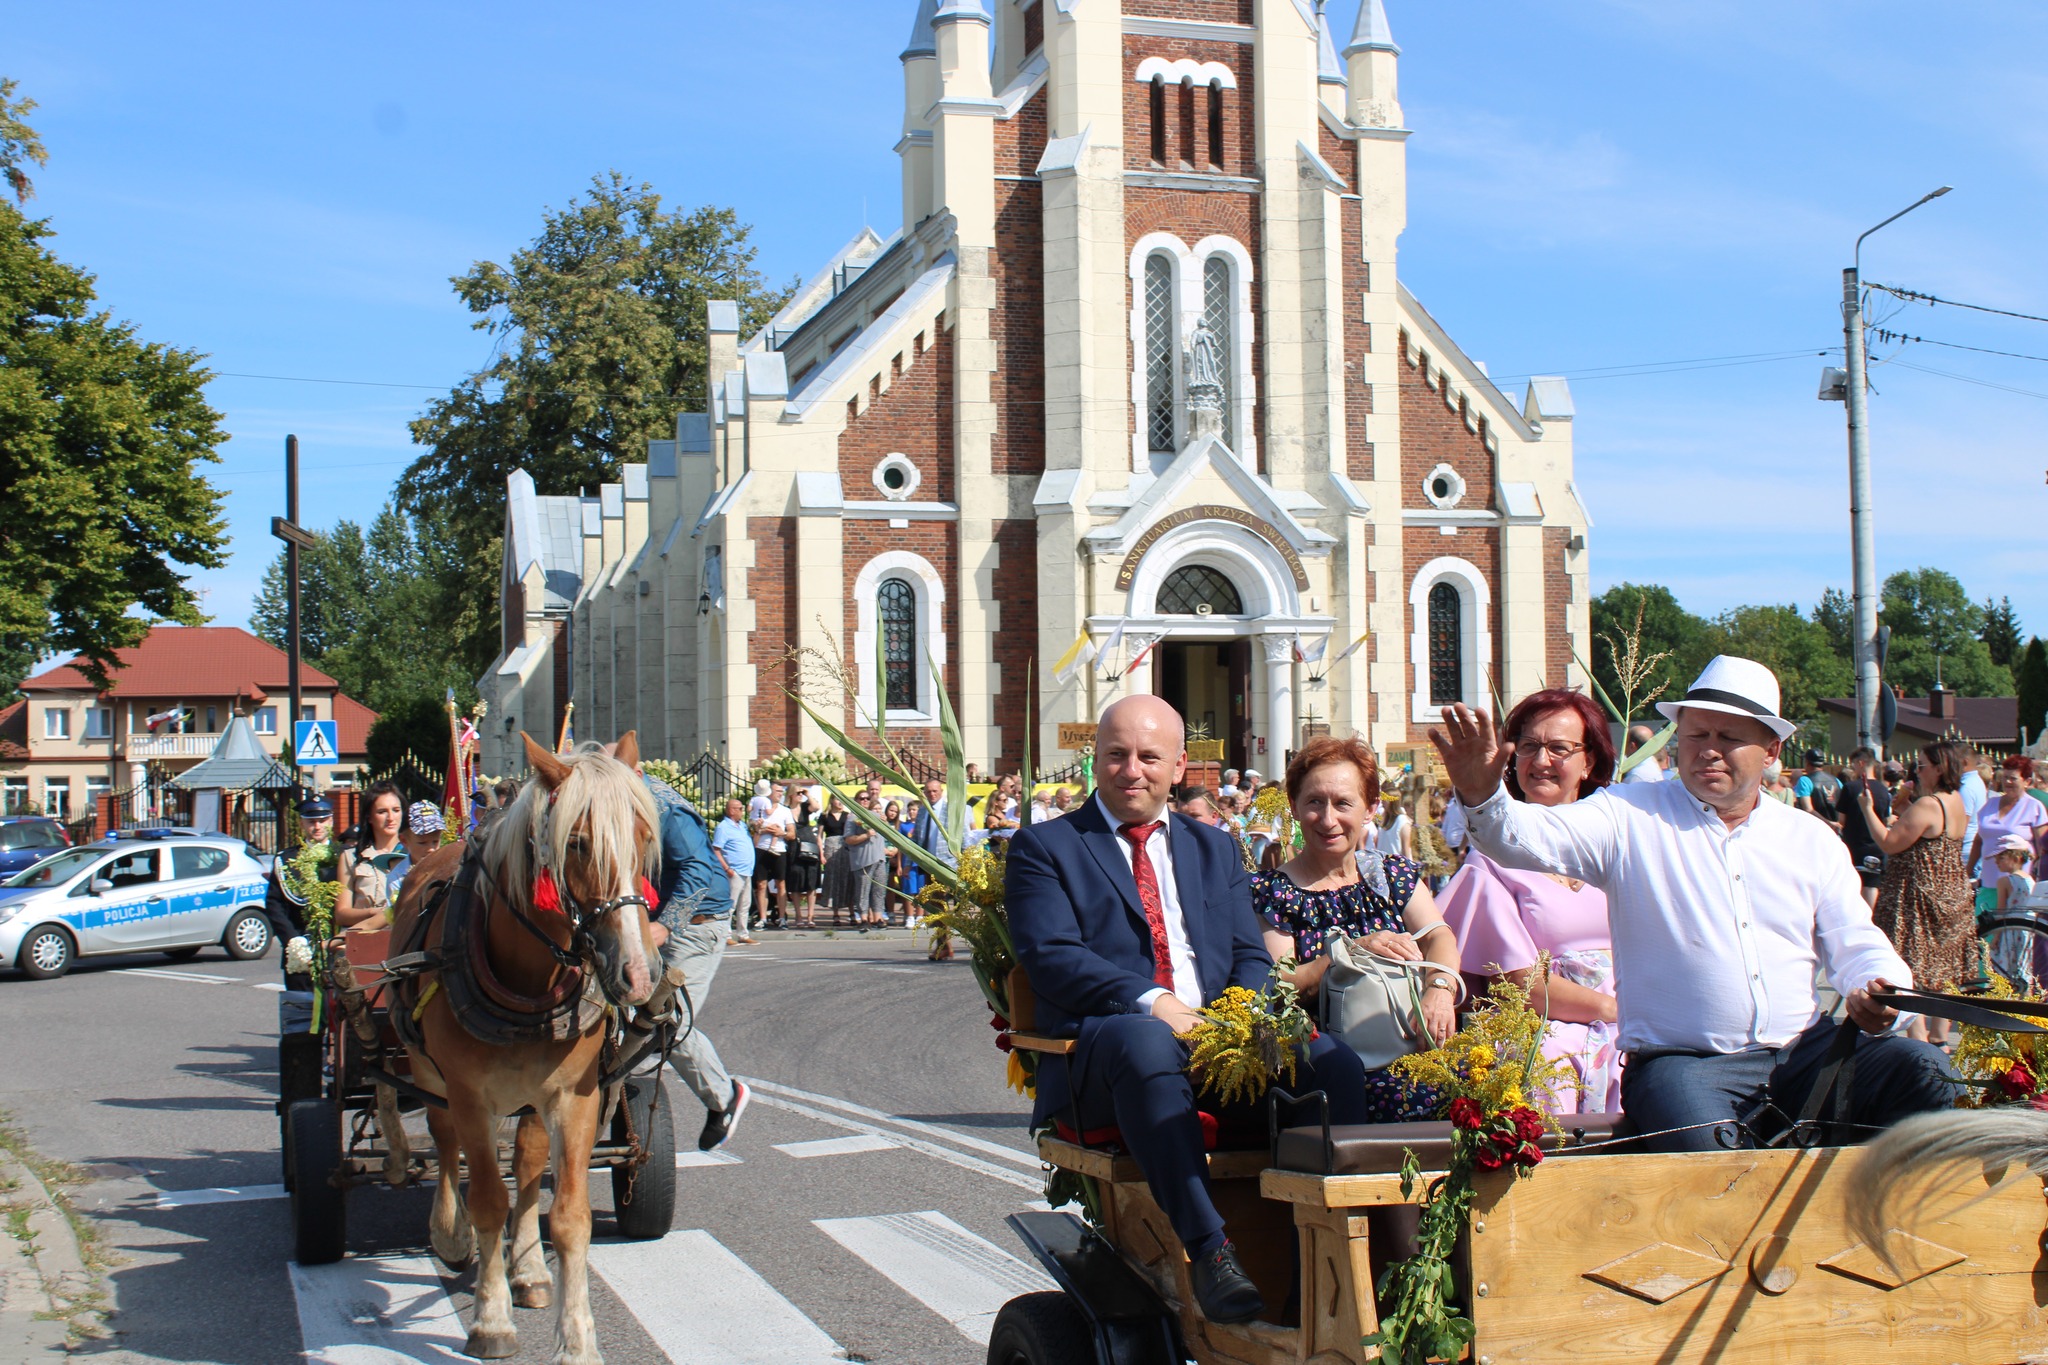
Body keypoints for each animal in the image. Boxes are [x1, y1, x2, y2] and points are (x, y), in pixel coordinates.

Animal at [387, 736, 659, 1365]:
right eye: (577, 842)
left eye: (643, 836)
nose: (638, 975)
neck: (529, 979)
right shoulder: (469, 1095)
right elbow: (487, 1196)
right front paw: (490, 1320)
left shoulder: (575, 1096)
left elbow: (570, 1216)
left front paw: (577, 1338)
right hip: (427, 1075)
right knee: (444, 1144)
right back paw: (450, 1232)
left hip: (533, 1097)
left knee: (530, 1165)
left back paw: (530, 1269)